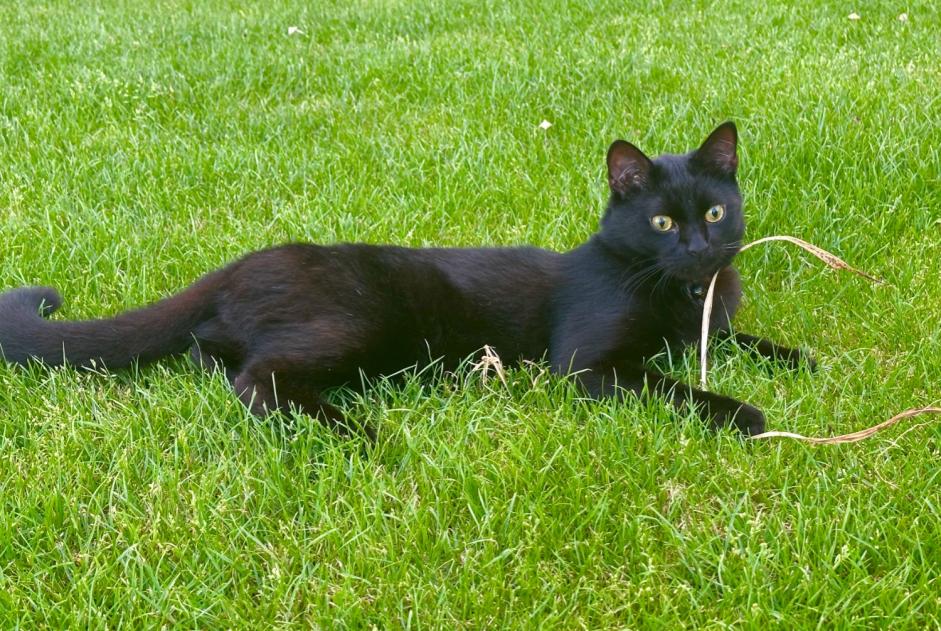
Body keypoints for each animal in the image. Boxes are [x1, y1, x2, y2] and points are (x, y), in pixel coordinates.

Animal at [0, 123, 808, 440]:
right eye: (663, 223)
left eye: (714, 210)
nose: (701, 248)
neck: (683, 296)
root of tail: (247, 260)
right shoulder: (588, 364)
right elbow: (672, 386)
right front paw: (744, 413)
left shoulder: (709, 328)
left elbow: (740, 340)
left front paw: (797, 357)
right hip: (353, 321)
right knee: (258, 379)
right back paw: (353, 433)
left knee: (218, 354)